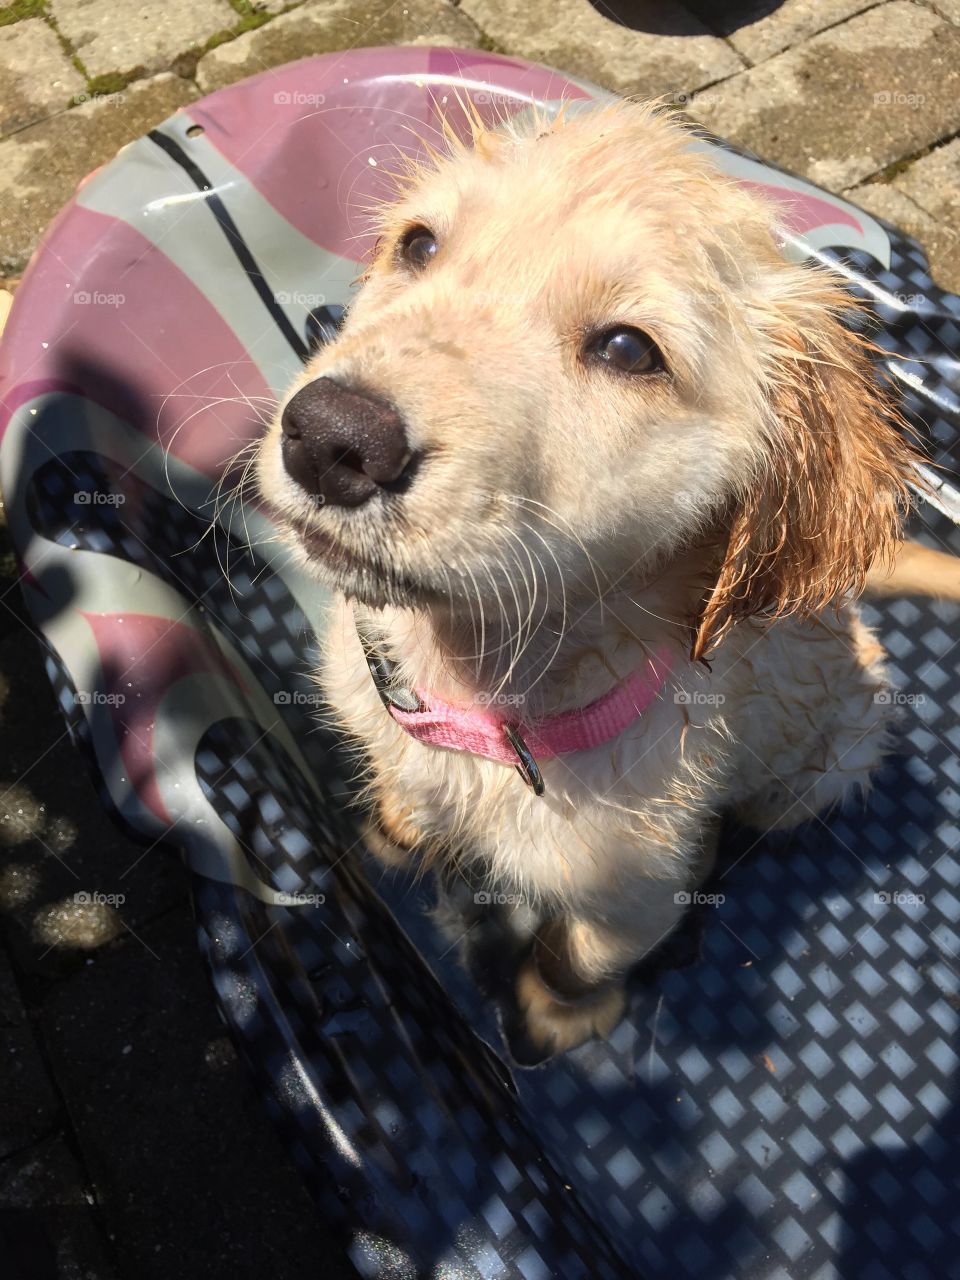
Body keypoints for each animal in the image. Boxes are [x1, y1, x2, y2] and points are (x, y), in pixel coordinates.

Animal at [256, 99, 926, 1054]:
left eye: (626, 350)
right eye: (418, 246)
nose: (330, 435)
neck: (481, 699)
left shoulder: (628, 894)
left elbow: (579, 955)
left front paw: (557, 1015)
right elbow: (404, 795)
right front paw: (399, 833)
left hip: (832, 763)